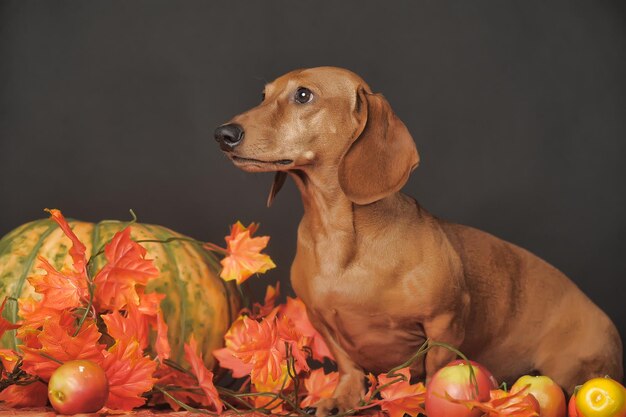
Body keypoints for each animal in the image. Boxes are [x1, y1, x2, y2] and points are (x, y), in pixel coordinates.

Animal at [214, 66, 620, 414]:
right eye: (263, 95)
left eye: (303, 95)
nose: (223, 134)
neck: (339, 235)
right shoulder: (319, 320)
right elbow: (348, 366)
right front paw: (342, 398)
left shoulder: (445, 321)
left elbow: (437, 367)